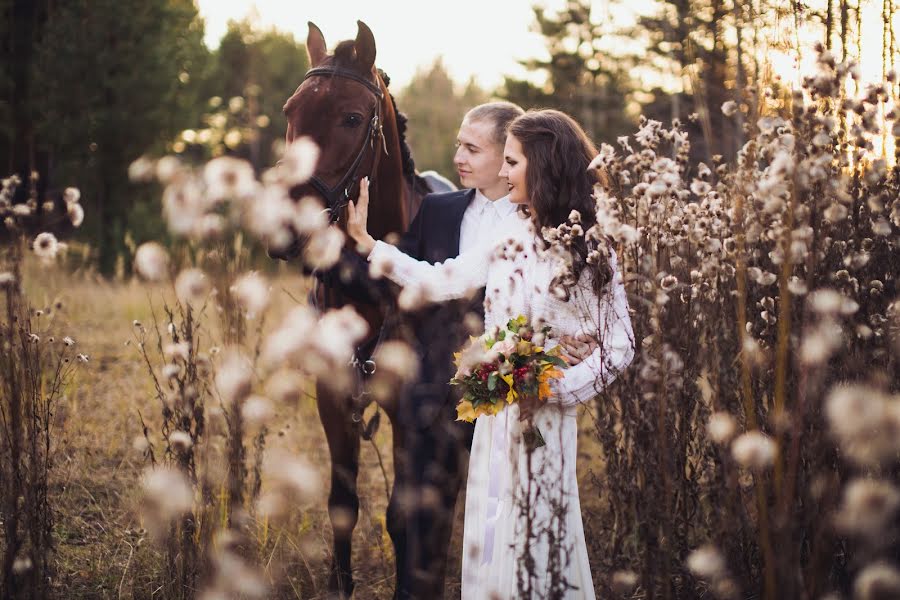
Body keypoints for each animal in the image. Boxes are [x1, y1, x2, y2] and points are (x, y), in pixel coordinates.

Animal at [284, 21, 448, 596]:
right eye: (290, 111)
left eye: (352, 118)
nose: (284, 224)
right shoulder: (333, 398)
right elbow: (342, 504)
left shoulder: (410, 412)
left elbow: (401, 515)